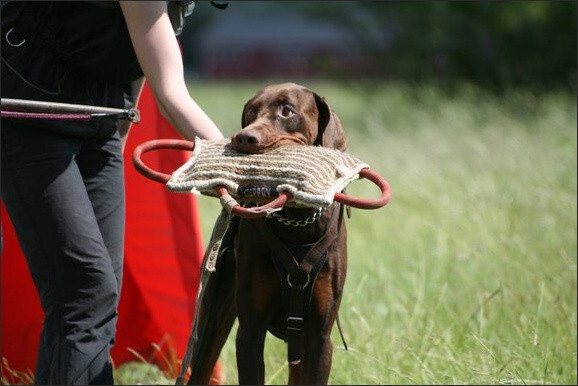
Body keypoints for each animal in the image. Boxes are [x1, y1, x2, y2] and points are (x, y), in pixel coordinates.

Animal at [184, 83, 346, 384]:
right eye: (250, 111)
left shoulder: (320, 337)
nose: (243, 138)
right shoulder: (250, 332)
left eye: (287, 111)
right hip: (214, 314)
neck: (296, 222)